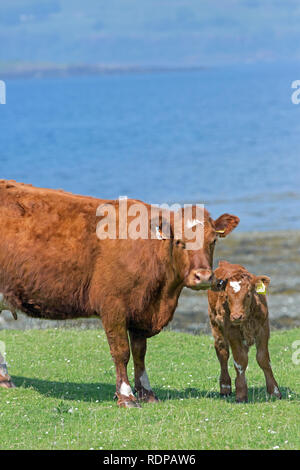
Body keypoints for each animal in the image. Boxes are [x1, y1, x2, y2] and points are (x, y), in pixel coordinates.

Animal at [0, 182, 239, 406]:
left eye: (213, 241)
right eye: (179, 241)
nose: (203, 276)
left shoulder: (142, 310)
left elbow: (140, 352)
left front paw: (146, 392)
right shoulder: (113, 307)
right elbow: (121, 352)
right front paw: (126, 396)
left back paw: (5, 379)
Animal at [207, 258, 280, 402]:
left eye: (248, 294)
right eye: (227, 296)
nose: (236, 316)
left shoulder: (264, 329)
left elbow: (263, 359)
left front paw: (274, 391)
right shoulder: (232, 331)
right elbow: (240, 361)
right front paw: (241, 393)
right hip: (215, 324)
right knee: (222, 353)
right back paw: (225, 387)